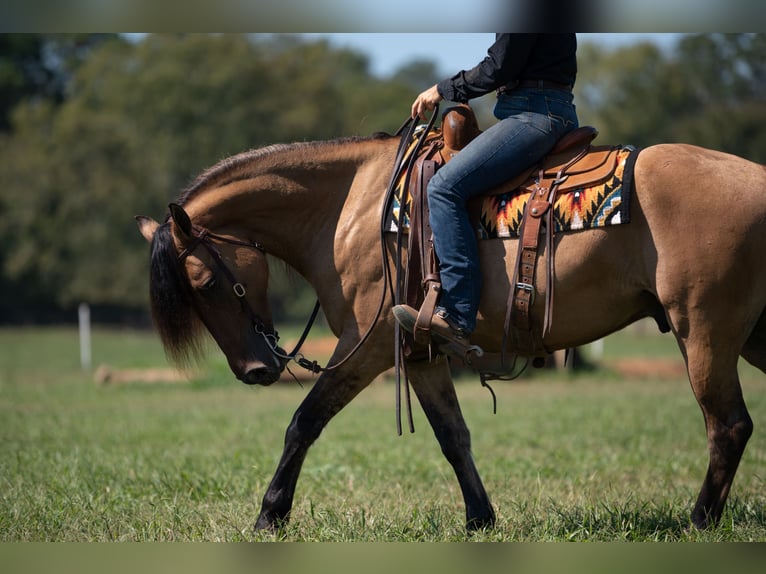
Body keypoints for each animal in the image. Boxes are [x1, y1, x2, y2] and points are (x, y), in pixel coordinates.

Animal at [135, 110, 766, 536]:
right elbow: (453, 435)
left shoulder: (366, 345)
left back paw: (698, 522)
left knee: (728, 425)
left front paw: (270, 516)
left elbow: (304, 421)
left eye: (205, 283)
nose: (254, 371)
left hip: (703, 332)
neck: (348, 207)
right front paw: (480, 519)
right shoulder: (420, 351)